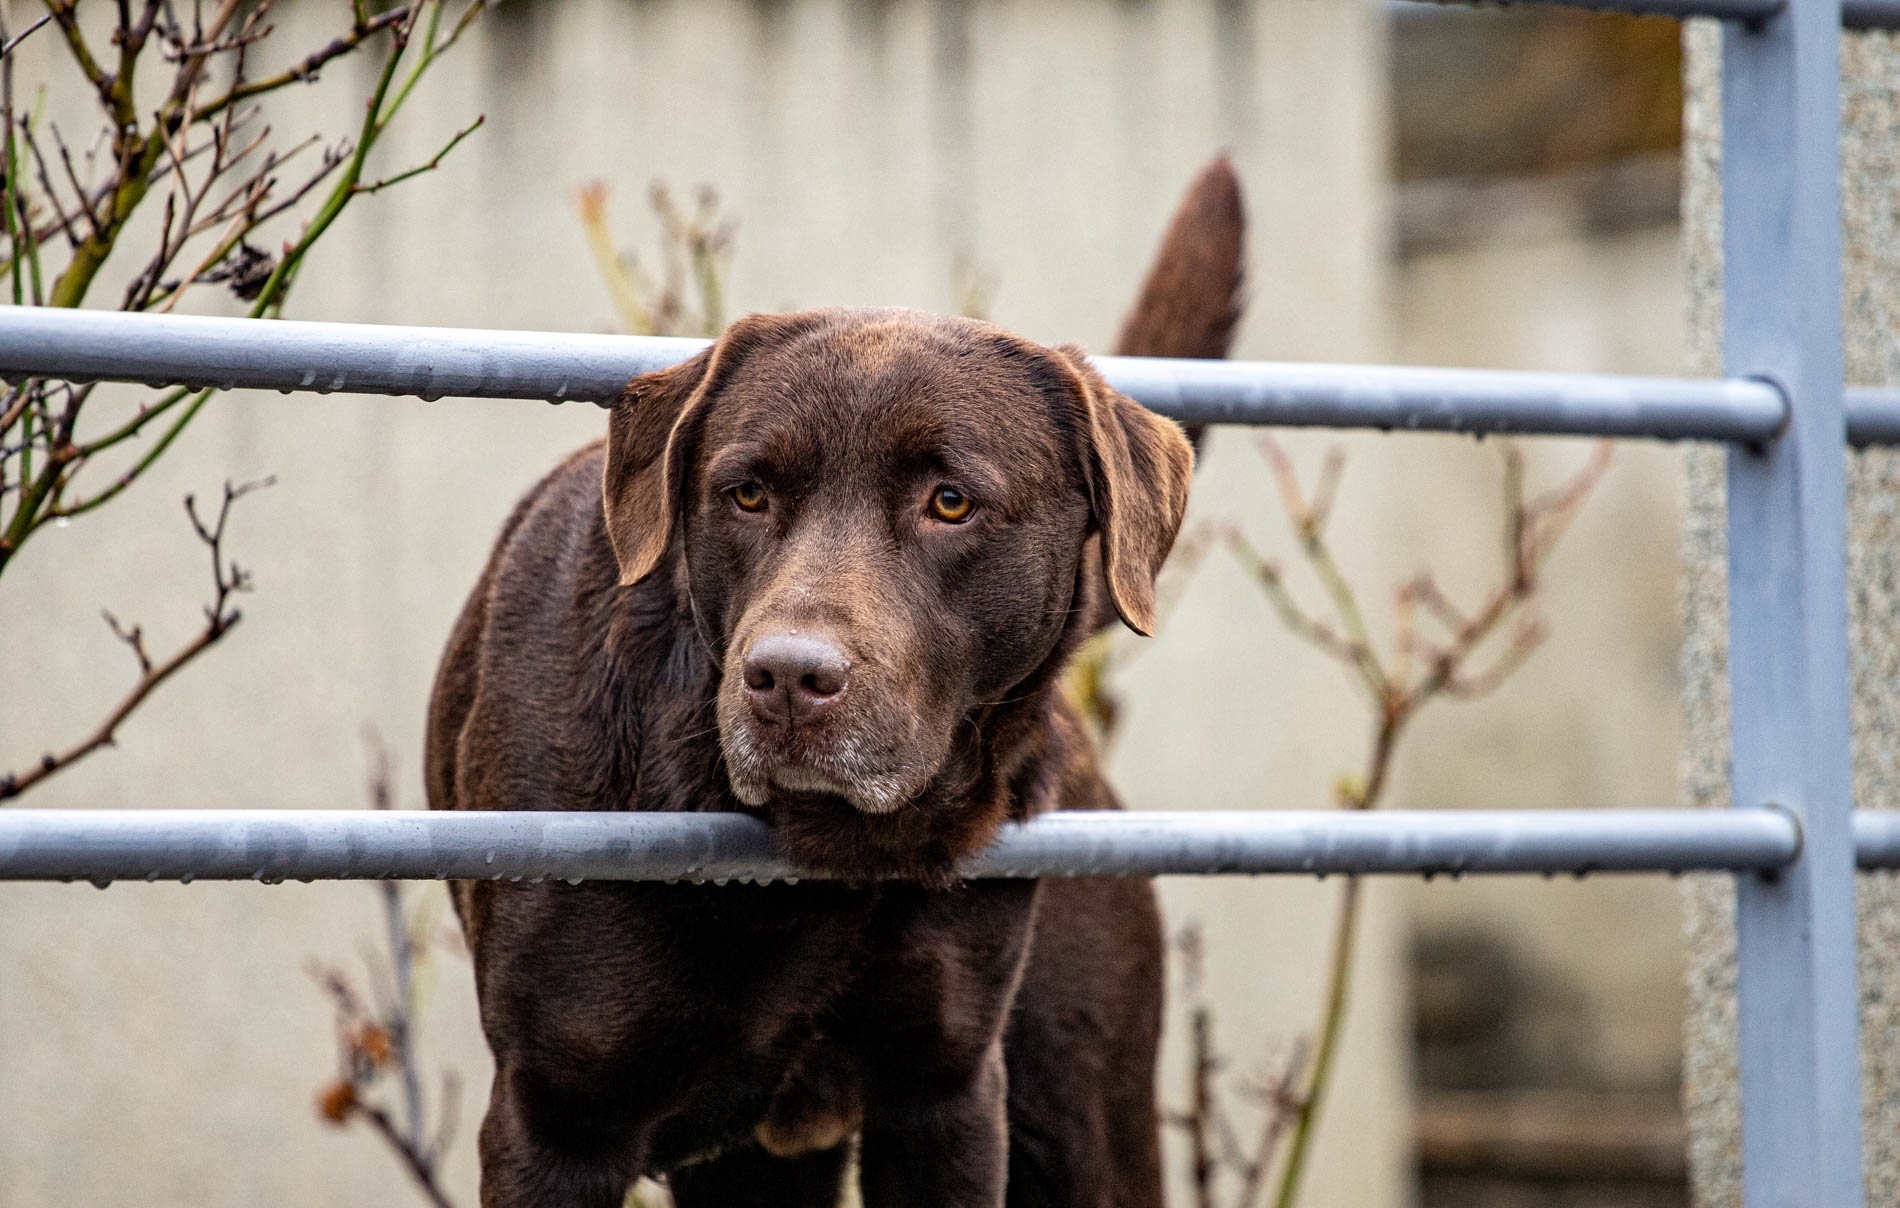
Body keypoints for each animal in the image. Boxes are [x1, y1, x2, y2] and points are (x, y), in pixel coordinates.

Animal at [435, 162, 1246, 1208]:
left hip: (1081, 1117)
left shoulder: (944, 1096)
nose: (787, 676)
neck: (823, 867)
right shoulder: (555, 1120)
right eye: (747, 493)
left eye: (951, 502)